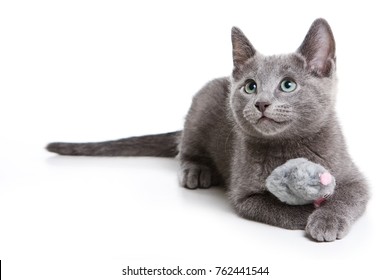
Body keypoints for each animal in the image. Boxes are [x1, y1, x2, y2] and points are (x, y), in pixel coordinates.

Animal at [48, 18, 368, 242]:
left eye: (288, 85)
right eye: (250, 86)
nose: (261, 103)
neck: (288, 147)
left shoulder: (355, 178)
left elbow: (349, 196)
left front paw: (327, 218)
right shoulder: (244, 196)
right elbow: (281, 210)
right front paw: (310, 214)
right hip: (199, 108)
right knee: (184, 148)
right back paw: (197, 170)